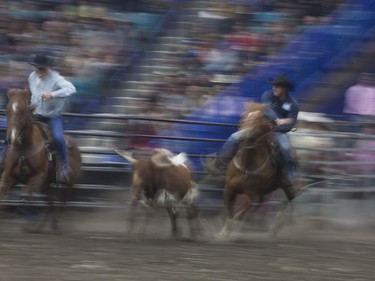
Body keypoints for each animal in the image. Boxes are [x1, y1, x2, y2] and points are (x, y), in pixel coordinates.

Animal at [0, 87, 81, 230]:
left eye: (24, 110)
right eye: (7, 110)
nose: (12, 137)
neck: (23, 149)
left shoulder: (39, 176)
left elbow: (25, 194)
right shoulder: (10, 175)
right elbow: (3, 193)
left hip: (70, 183)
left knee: (62, 201)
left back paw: (54, 223)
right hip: (46, 184)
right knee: (50, 203)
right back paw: (40, 225)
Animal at [217, 100, 300, 236]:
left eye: (259, 119)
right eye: (244, 115)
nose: (244, 132)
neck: (247, 163)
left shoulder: (252, 191)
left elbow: (248, 207)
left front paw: (235, 226)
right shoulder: (229, 188)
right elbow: (229, 209)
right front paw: (224, 232)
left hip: (286, 185)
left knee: (289, 198)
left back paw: (276, 225)